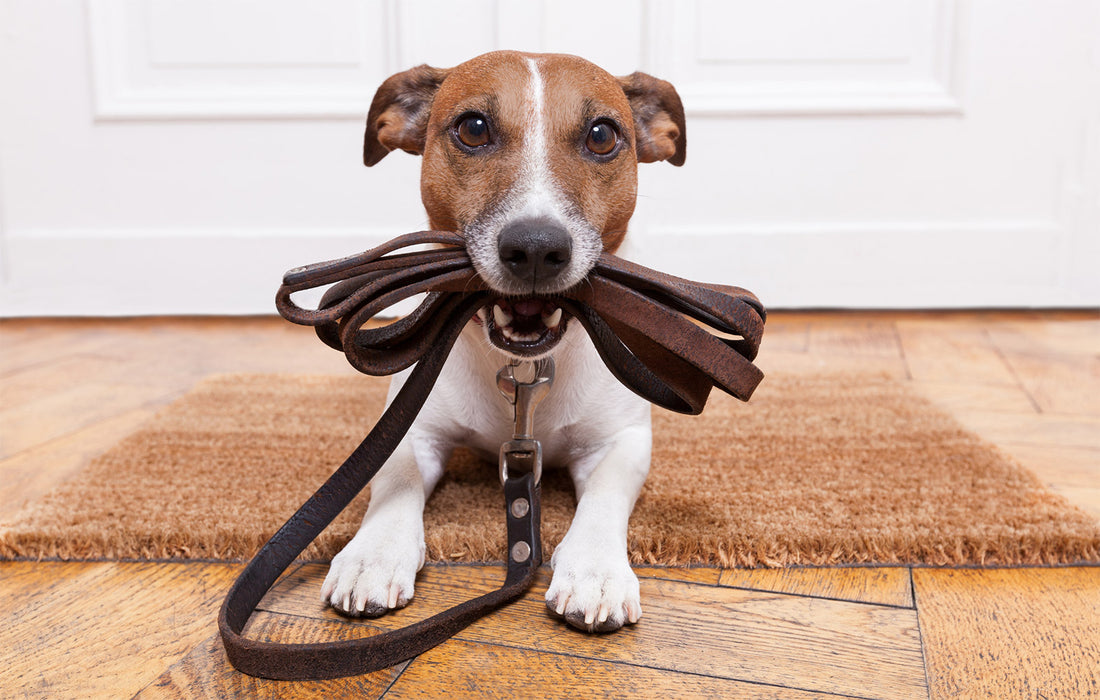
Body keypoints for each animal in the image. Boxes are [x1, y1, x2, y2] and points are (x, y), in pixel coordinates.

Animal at [316, 47, 686, 629]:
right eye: (473, 128)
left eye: (602, 135)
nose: (535, 248)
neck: (524, 368)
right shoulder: (412, 428)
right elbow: (394, 480)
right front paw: (372, 554)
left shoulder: (621, 441)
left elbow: (605, 496)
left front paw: (595, 570)